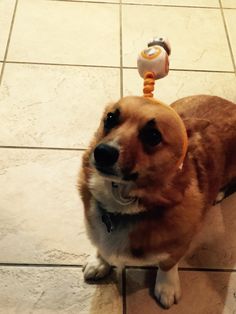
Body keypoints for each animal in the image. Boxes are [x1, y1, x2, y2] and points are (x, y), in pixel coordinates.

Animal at [78, 94, 236, 308]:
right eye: (110, 118)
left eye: (153, 135)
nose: (102, 152)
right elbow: (101, 247)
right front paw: (100, 262)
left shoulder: (179, 244)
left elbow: (168, 264)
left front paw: (166, 287)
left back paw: (219, 193)